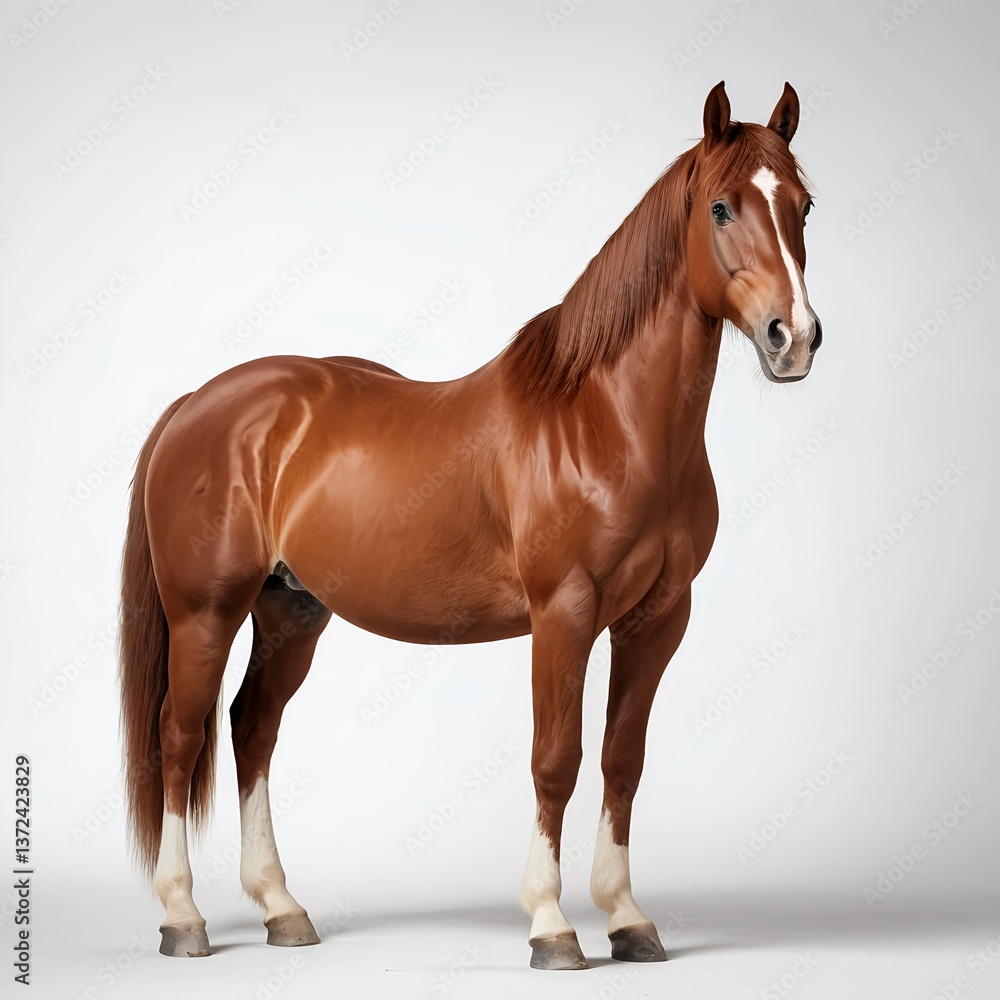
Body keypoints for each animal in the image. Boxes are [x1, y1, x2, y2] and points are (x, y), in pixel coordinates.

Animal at [119, 80, 821, 970]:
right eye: (723, 207)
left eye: (804, 205)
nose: (794, 338)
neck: (607, 422)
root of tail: (195, 404)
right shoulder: (564, 614)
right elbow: (557, 759)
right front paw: (552, 924)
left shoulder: (659, 618)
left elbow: (622, 759)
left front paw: (627, 918)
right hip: (204, 611)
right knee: (179, 738)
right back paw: (184, 917)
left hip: (291, 611)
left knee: (251, 728)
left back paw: (283, 908)